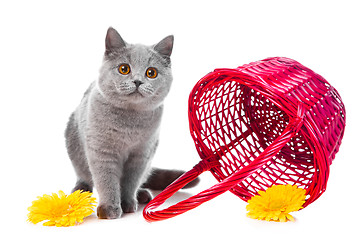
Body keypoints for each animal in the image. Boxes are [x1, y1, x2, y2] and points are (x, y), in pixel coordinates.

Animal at [66, 27, 198, 218]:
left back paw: (142, 195)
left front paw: (128, 203)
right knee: (83, 176)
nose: (137, 81)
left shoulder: (141, 155)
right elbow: (107, 181)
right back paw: (81, 192)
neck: (129, 124)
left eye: (151, 72)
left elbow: (131, 181)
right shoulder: (102, 151)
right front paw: (110, 209)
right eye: (124, 69)